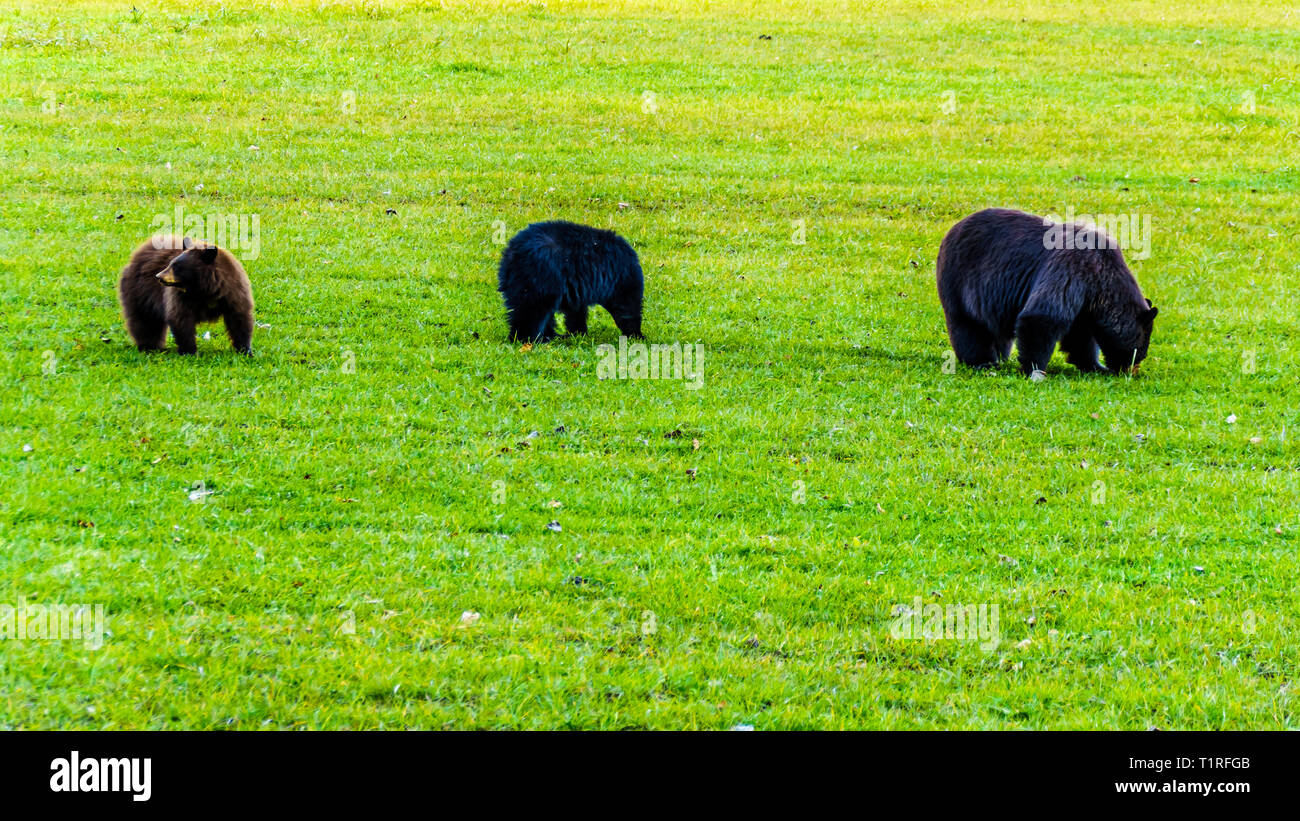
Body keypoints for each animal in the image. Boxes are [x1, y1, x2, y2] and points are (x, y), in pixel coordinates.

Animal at [493, 219, 642, 340]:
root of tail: (512, 254)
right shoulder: (621, 281)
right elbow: (627, 307)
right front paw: (636, 334)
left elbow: (576, 310)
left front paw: (578, 333)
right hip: (540, 278)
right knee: (532, 309)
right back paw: (526, 338)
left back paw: (549, 336)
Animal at [935, 207, 1159, 374]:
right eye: (1141, 348)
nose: (1131, 368)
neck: (1102, 280)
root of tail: (950, 231)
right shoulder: (1072, 268)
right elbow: (1042, 316)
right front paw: (1034, 369)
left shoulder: (1085, 300)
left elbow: (1080, 335)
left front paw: (1095, 366)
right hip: (959, 281)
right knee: (968, 326)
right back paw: (982, 361)